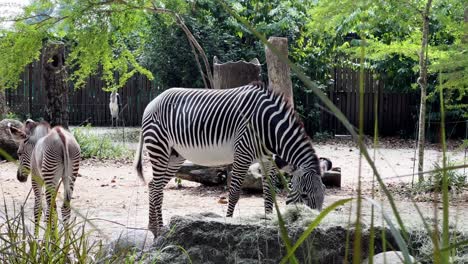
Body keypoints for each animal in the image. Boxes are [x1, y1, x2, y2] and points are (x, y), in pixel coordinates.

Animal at [134, 82, 326, 235]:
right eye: (304, 194)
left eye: (324, 194)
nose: (314, 226)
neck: (268, 125)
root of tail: (152, 102)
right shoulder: (242, 154)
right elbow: (234, 194)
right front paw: (229, 226)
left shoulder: (267, 160)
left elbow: (269, 194)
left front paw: (269, 222)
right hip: (159, 148)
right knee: (157, 189)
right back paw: (159, 229)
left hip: (175, 156)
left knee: (154, 186)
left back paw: (156, 229)